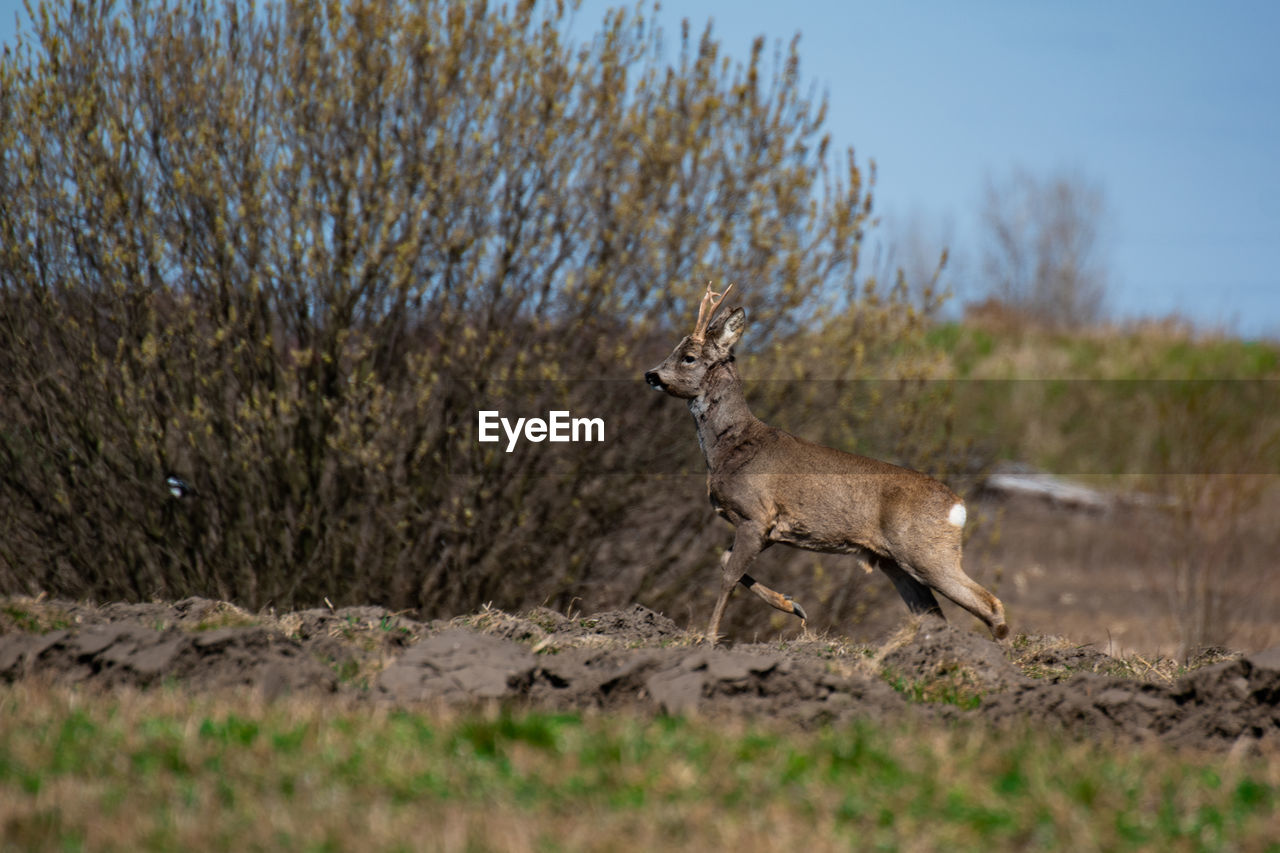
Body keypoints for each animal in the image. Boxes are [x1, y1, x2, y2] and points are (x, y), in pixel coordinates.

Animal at [640, 281, 1008, 640]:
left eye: (688, 357)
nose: (651, 375)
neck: (731, 448)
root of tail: (958, 506)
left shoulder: (756, 515)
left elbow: (728, 575)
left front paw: (709, 637)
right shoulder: (766, 528)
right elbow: (723, 558)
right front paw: (792, 606)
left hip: (926, 552)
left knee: (990, 606)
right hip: (893, 561)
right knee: (931, 615)